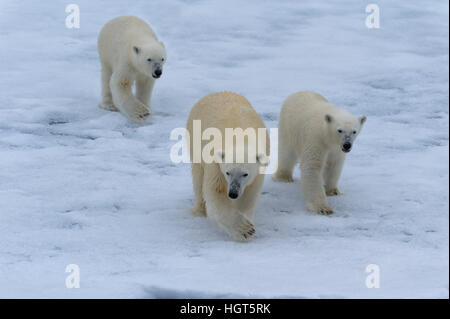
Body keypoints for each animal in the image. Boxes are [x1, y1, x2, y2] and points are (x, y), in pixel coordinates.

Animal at [185, 91, 268, 241]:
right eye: (228, 172)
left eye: (245, 174)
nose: (233, 193)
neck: (240, 138)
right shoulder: (216, 163)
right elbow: (215, 191)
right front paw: (245, 229)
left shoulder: (259, 169)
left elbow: (250, 193)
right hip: (194, 138)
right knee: (198, 177)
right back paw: (199, 211)